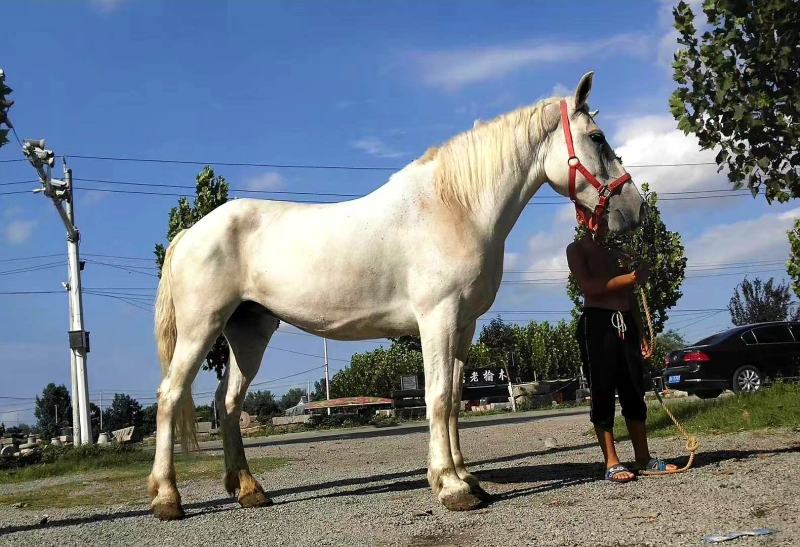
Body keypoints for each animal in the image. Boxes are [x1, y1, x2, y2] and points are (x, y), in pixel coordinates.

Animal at [148, 72, 645, 520]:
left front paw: (465, 478)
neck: (455, 207)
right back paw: (167, 499)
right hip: (201, 327)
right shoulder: (437, 318)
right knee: (171, 395)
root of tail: (190, 232)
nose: (635, 208)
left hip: (248, 333)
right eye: (597, 137)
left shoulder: (464, 325)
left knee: (227, 404)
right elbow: (438, 397)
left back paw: (249, 490)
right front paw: (450, 488)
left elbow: (456, 401)